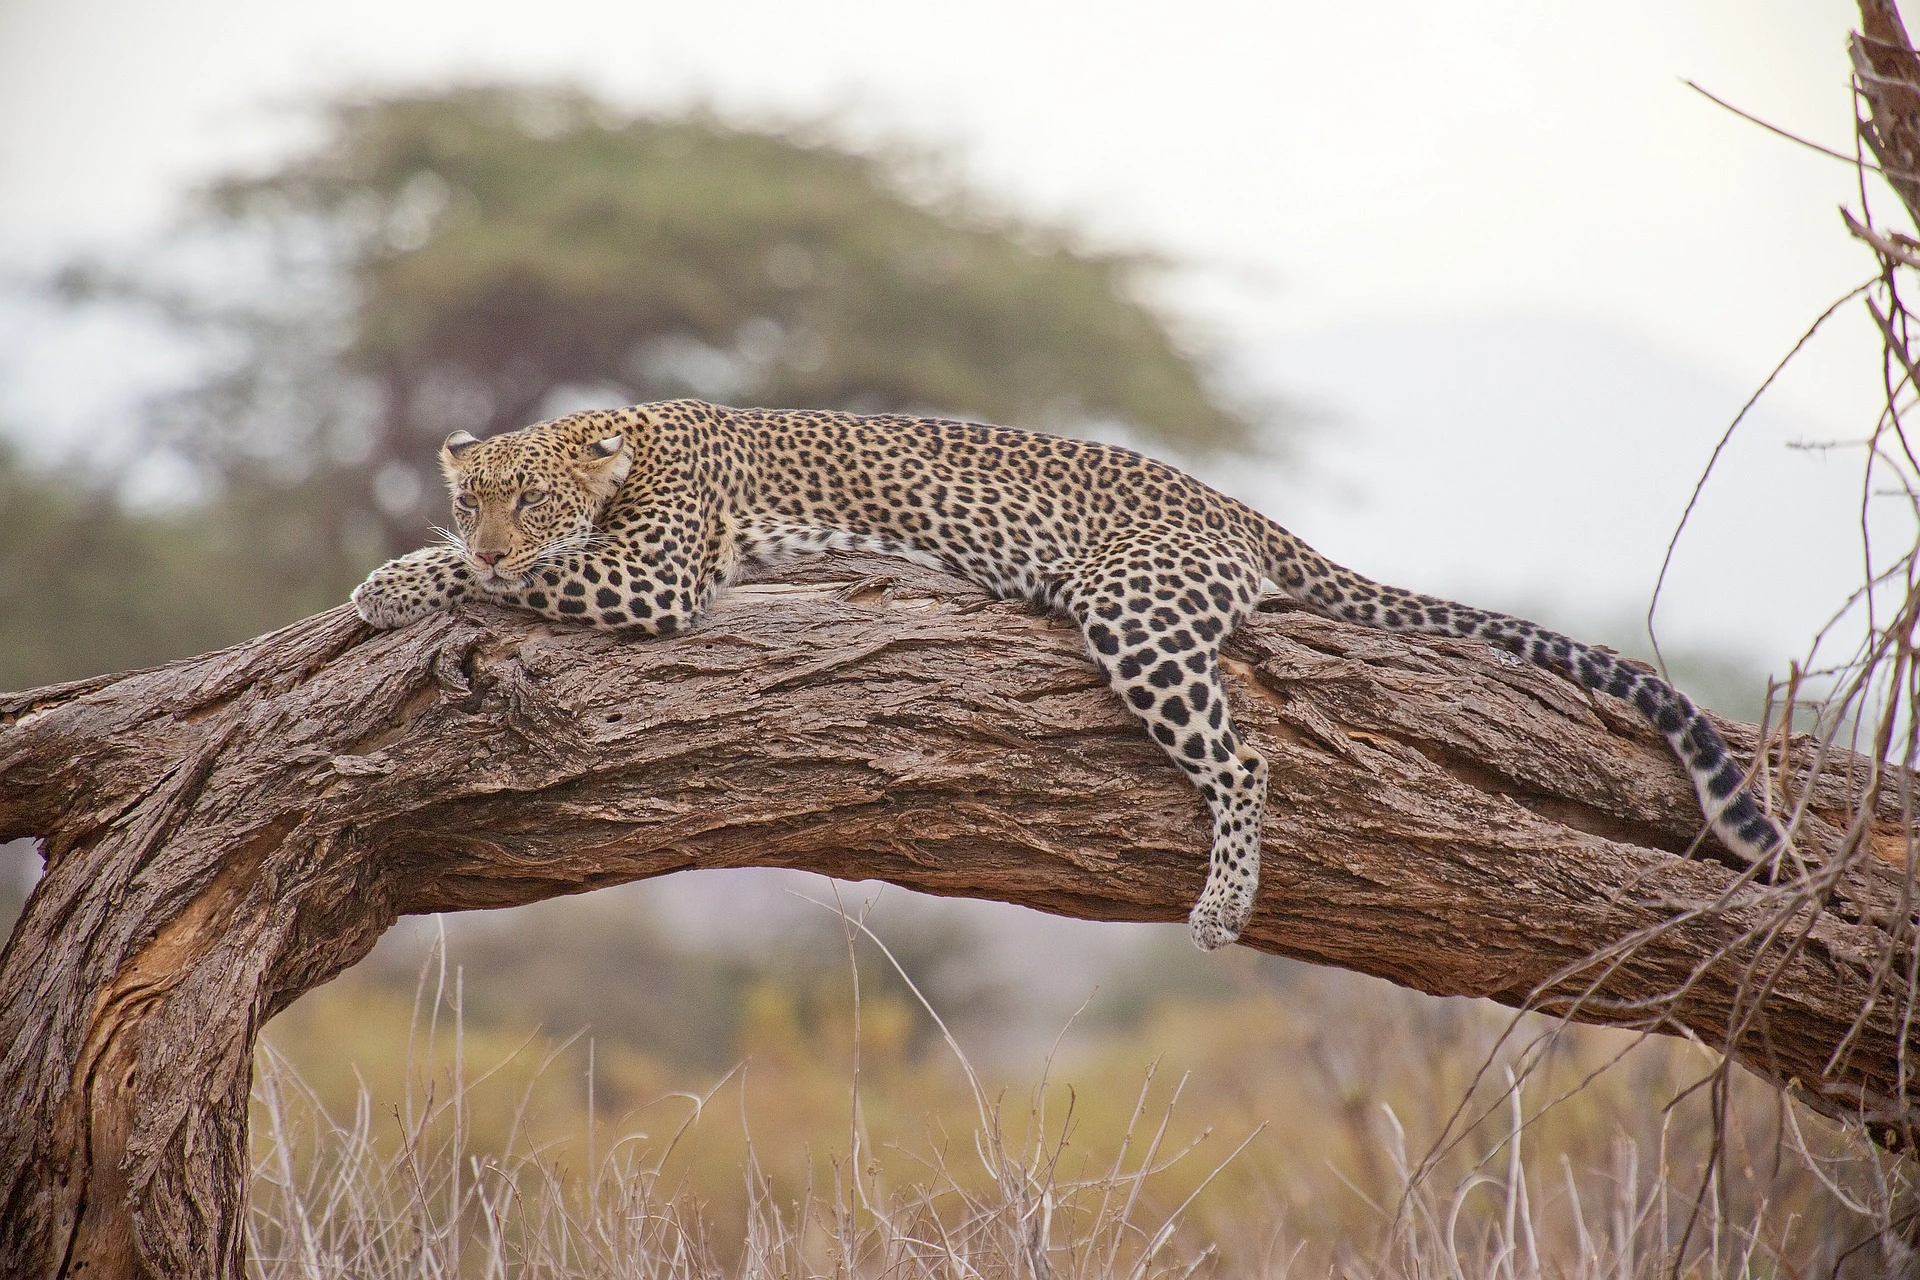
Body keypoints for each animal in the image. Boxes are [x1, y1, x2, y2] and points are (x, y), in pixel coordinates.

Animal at [353, 401, 1789, 951]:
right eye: (478, 492)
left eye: (529, 502)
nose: (491, 528)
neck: (624, 444)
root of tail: (1237, 509)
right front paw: (398, 571)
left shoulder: (652, 574)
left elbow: (504, 583)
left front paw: (406, 582)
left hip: (1134, 610)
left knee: (1244, 754)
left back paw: (1220, 907)